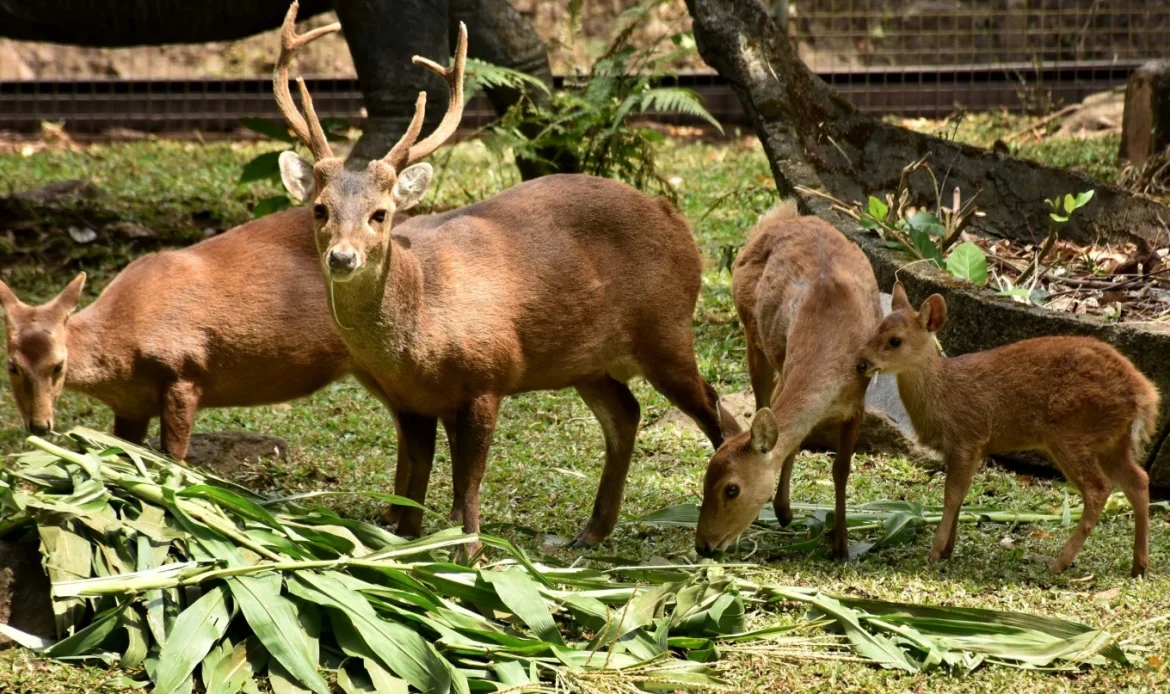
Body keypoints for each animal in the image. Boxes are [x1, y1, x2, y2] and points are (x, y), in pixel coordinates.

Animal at [0, 206, 400, 460]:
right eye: (12, 367)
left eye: (58, 365)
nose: (39, 425)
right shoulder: (130, 406)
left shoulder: (184, 372)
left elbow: (175, 458)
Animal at [270, 1, 740, 549]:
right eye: (319, 209)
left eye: (380, 214)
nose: (342, 258)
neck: (420, 321)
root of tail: (677, 220)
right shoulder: (411, 400)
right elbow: (417, 486)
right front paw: (409, 543)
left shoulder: (487, 374)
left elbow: (468, 481)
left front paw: (468, 549)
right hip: (587, 361)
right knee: (627, 414)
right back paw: (590, 533)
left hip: (665, 327)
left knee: (715, 409)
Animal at [694, 202, 882, 560]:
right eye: (704, 479)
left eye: (732, 489)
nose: (704, 546)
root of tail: (779, 215)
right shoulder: (787, 363)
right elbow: (791, 442)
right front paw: (784, 511)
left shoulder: (859, 399)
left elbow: (841, 469)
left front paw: (841, 545)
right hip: (754, 336)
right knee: (761, 400)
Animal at [857, 282, 1159, 577]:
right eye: (875, 329)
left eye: (895, 340)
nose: (861, 363)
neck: (944, 394)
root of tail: (1143, 395)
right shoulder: (970, 448)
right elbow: (961, 495)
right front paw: (947, 549)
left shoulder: (968, 436)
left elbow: (951, 495)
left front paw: (934, 552)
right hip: (1112, 441)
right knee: (1139, 480)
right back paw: (1139, 565)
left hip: (1071, 433)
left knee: (1099, 489)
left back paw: (1058, 565)